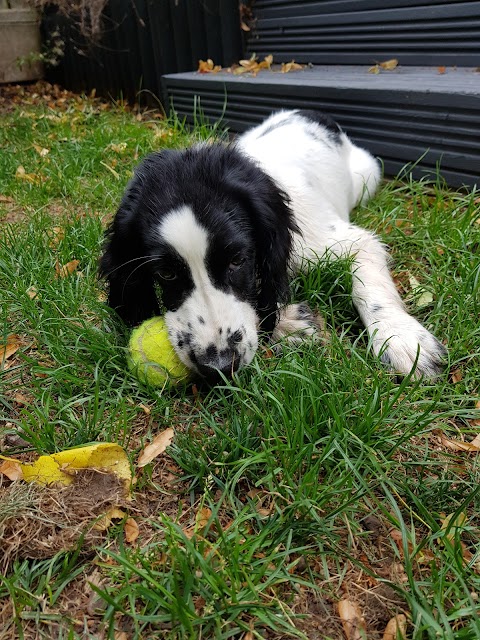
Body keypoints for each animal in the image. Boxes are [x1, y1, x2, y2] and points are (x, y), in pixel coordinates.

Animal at [100, 110, 446, 380]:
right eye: (166, 274)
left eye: (238, 260)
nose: (219, 367)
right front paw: (292, 322)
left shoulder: (335, 242)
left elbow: (369, 283)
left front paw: (400, 337)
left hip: (367, 175)